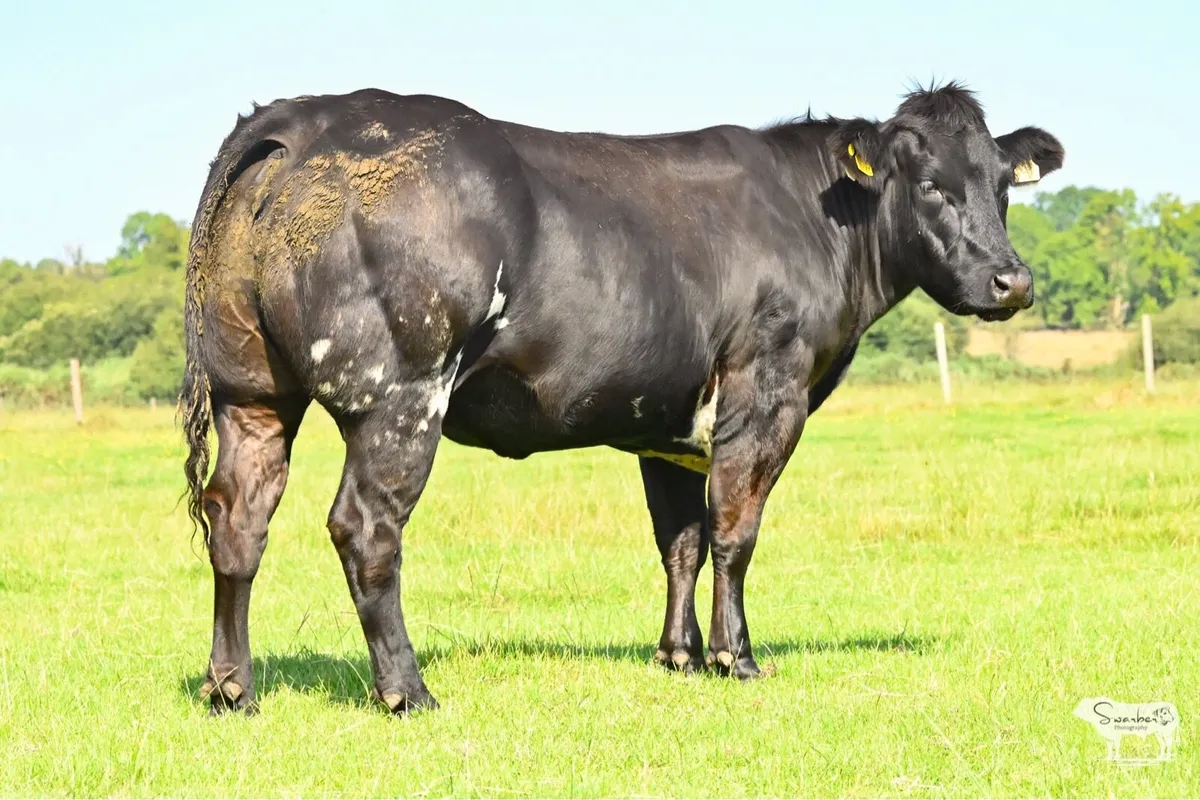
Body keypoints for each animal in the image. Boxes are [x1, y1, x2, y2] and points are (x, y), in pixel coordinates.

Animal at [181, 81, 1064, 714]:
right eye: (931, 185)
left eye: (1001, 186)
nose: (1011, 281)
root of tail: (301, 117)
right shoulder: (766, 391)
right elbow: (735, 534)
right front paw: (738, 658)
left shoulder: (663, 419)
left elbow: (681, 540)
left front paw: (678, 656)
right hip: (401, 390)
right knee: (366, 528)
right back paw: (407, 690)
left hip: (251, 390)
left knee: (237, 517)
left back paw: (232, 688)